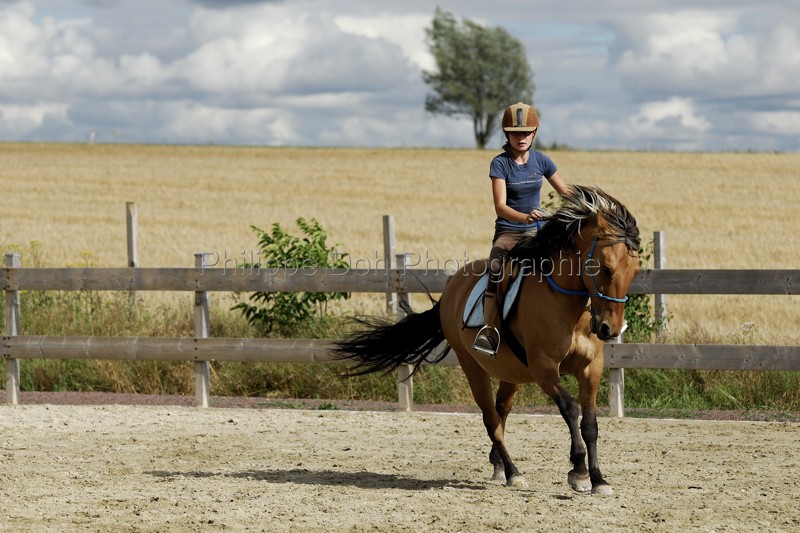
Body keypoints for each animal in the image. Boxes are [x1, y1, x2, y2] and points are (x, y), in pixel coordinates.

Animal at [334, 186, 640, 494]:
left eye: (634, 271)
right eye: (605, 268)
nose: (609, 329)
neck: (568, 306)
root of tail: (452, 288)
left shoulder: (591, 368)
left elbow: (590, 423)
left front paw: (598, 479)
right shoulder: (544, 368)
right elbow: (570, 408)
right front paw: (578, 471)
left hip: (511, 371)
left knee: (501, 410)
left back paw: (499, 465)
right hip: (473, 367)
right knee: (491, 418)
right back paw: (513, 472)